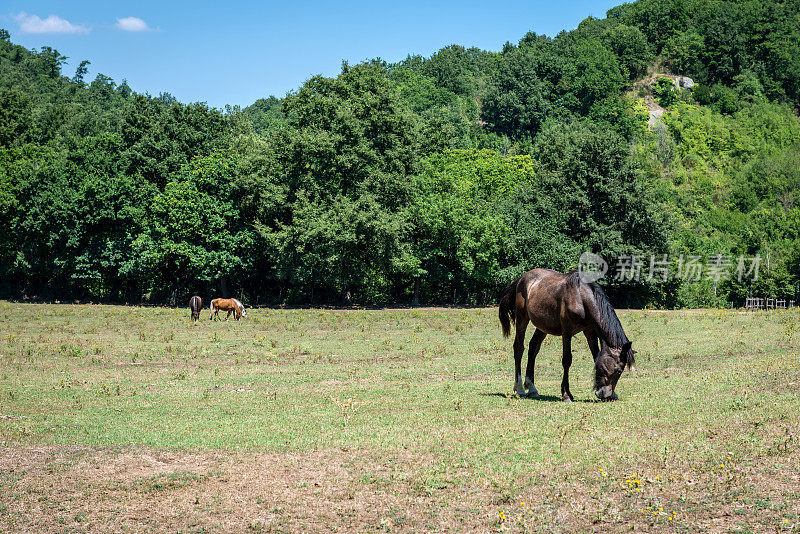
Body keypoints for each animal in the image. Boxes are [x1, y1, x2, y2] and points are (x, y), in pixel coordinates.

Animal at [496, 270, 636, 404]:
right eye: (618, 370)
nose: (604, 394)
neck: (580, 297)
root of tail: (522, 278)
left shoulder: (590, 332)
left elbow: (596, 357)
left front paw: (613, 394)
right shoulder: (567, 332)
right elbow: (567, 360)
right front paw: (566, 394)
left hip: (542, 327)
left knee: (533, 348)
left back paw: (532, 388)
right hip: (522, 319)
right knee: (519, 348)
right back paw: (519, 389)